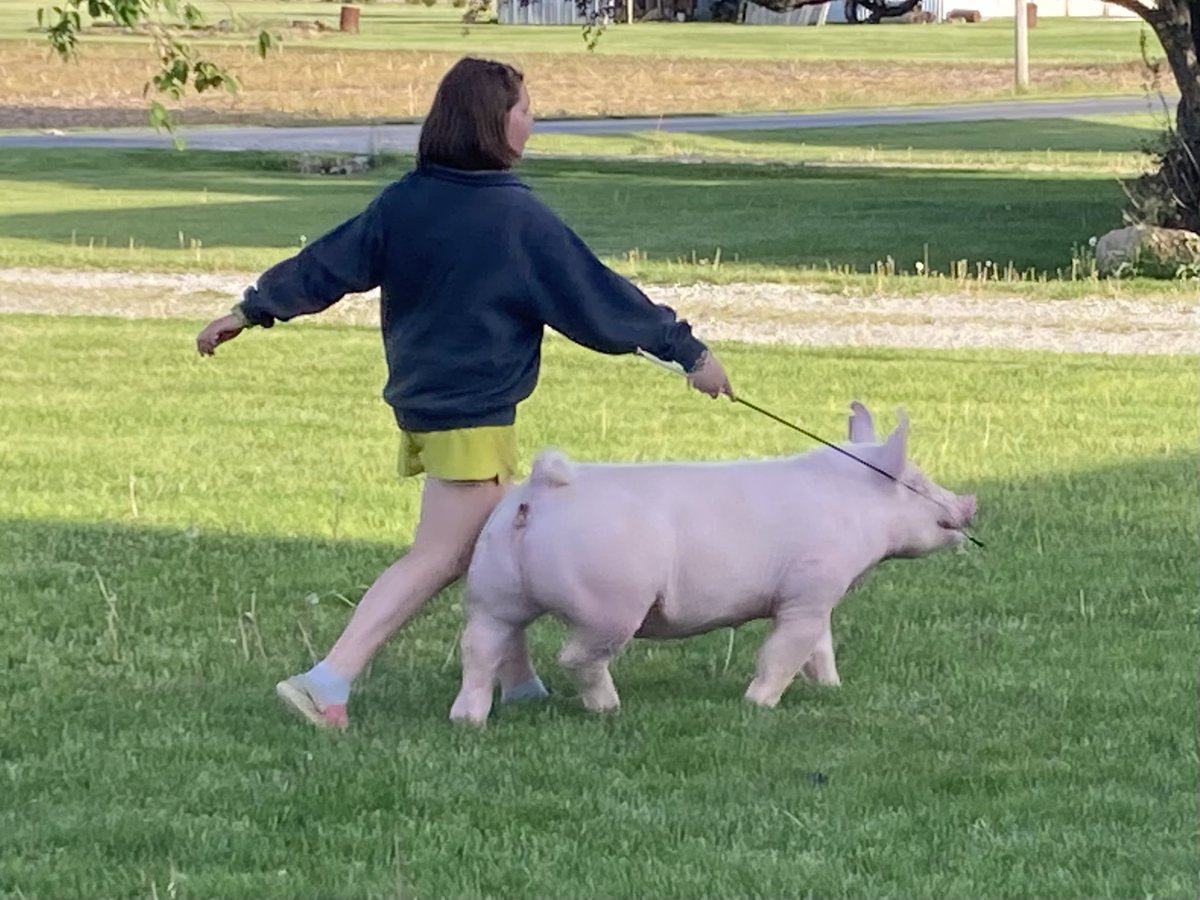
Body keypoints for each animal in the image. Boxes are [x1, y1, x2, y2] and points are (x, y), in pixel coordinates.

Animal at [449, 401, 977, 725]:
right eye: (916, 482)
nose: (969, 503)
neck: (856, 507)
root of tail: (541, 490)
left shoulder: (815, 596)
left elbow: (821, 647)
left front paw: (830, 688)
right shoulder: (809, 588)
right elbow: (786, 651)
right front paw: (758, 706)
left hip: (493, 588)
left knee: (483, 646)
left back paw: (469, 720)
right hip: (610, 603)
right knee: (575, 656)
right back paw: (610, 709)